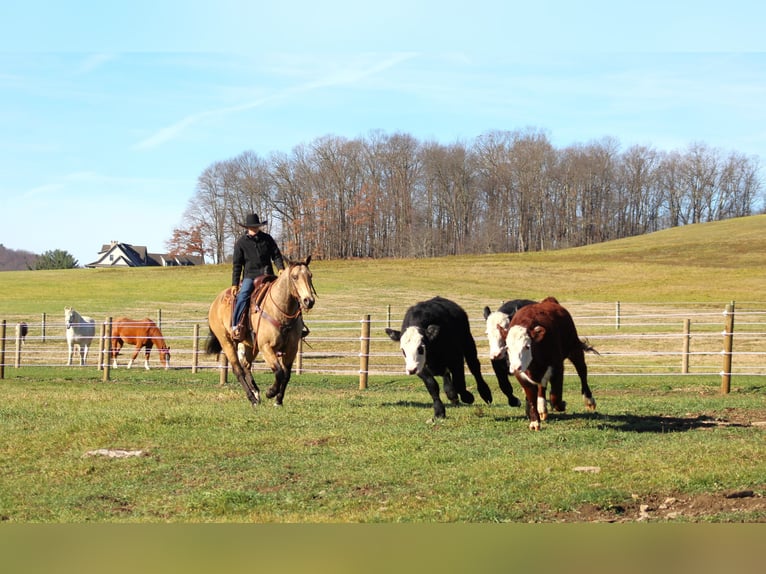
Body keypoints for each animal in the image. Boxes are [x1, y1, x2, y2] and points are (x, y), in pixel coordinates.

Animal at [204, 256, 318, 410]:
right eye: (294, 277)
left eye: (310, 275)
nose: (308, 301)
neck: (280, 311)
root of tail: (215, 303)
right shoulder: (266, 347)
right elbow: (279, 371)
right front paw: (271, 392)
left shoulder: (292, 348)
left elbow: (286, 374)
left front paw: (278, 400)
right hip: (227, 342)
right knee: (238, 370)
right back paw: (252, 398)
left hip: (250, 345)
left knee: (246, 365)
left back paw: (256, 393)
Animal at [510, 300, 600, 430]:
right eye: (507, 347)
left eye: (527, 346)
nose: (515, 368)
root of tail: (549, 300)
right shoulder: (522, 376)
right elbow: (531, 397)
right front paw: (534, 422)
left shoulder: (557, 368)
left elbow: (555, 397)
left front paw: (561, 404)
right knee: (542, 386)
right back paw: (542, 408)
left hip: (574, 349)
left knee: (582, 371)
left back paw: (589, 400)